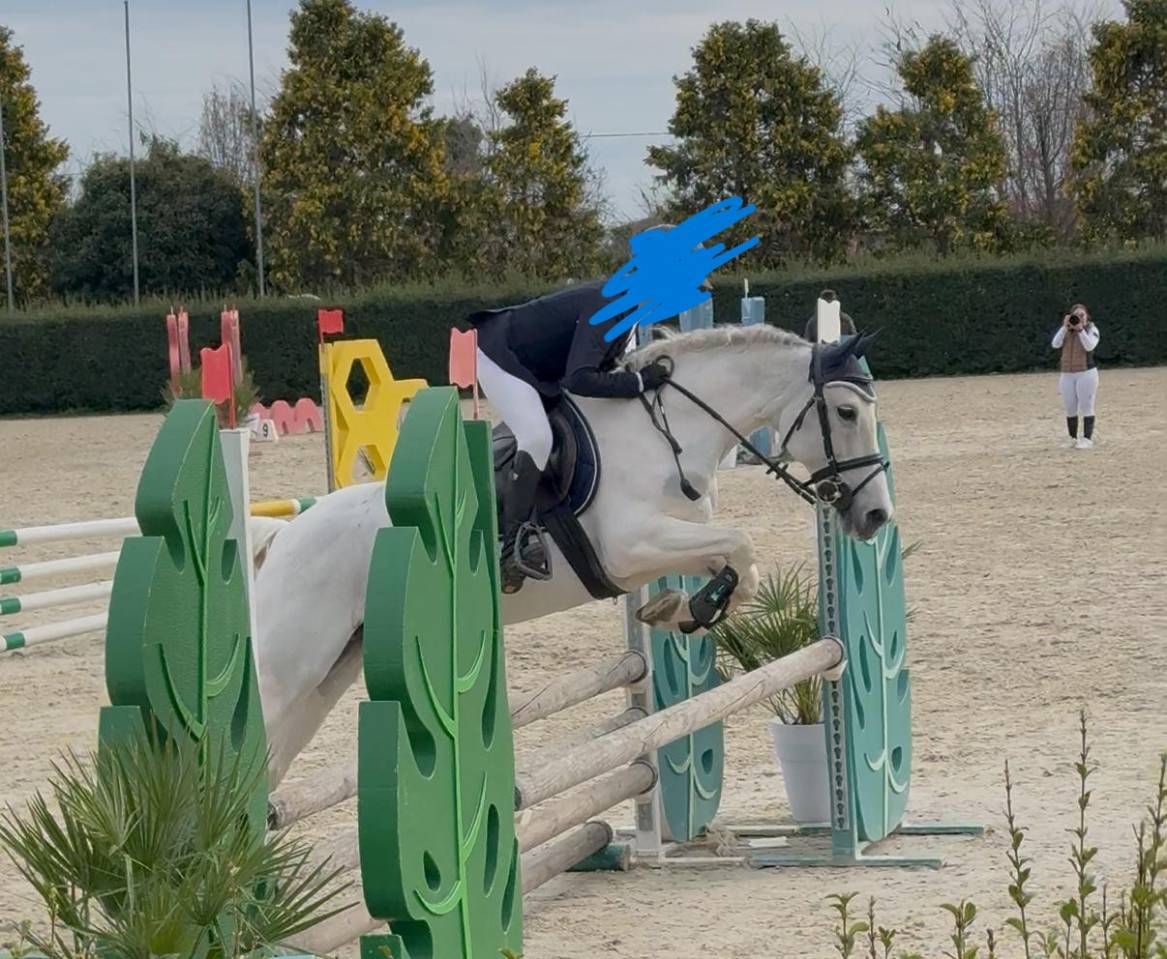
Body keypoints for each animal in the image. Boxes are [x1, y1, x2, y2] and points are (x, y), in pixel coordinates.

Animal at [252, 324, 893, 785]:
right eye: (846, 413)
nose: (875, 517)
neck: (669, 431)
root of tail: (286, 537)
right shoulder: (631, 545)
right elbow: (741, 544)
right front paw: (688, 610)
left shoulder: (670, 543)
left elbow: (739, 565)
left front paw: (681, 611)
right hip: (292, 666)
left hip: (330, 674)